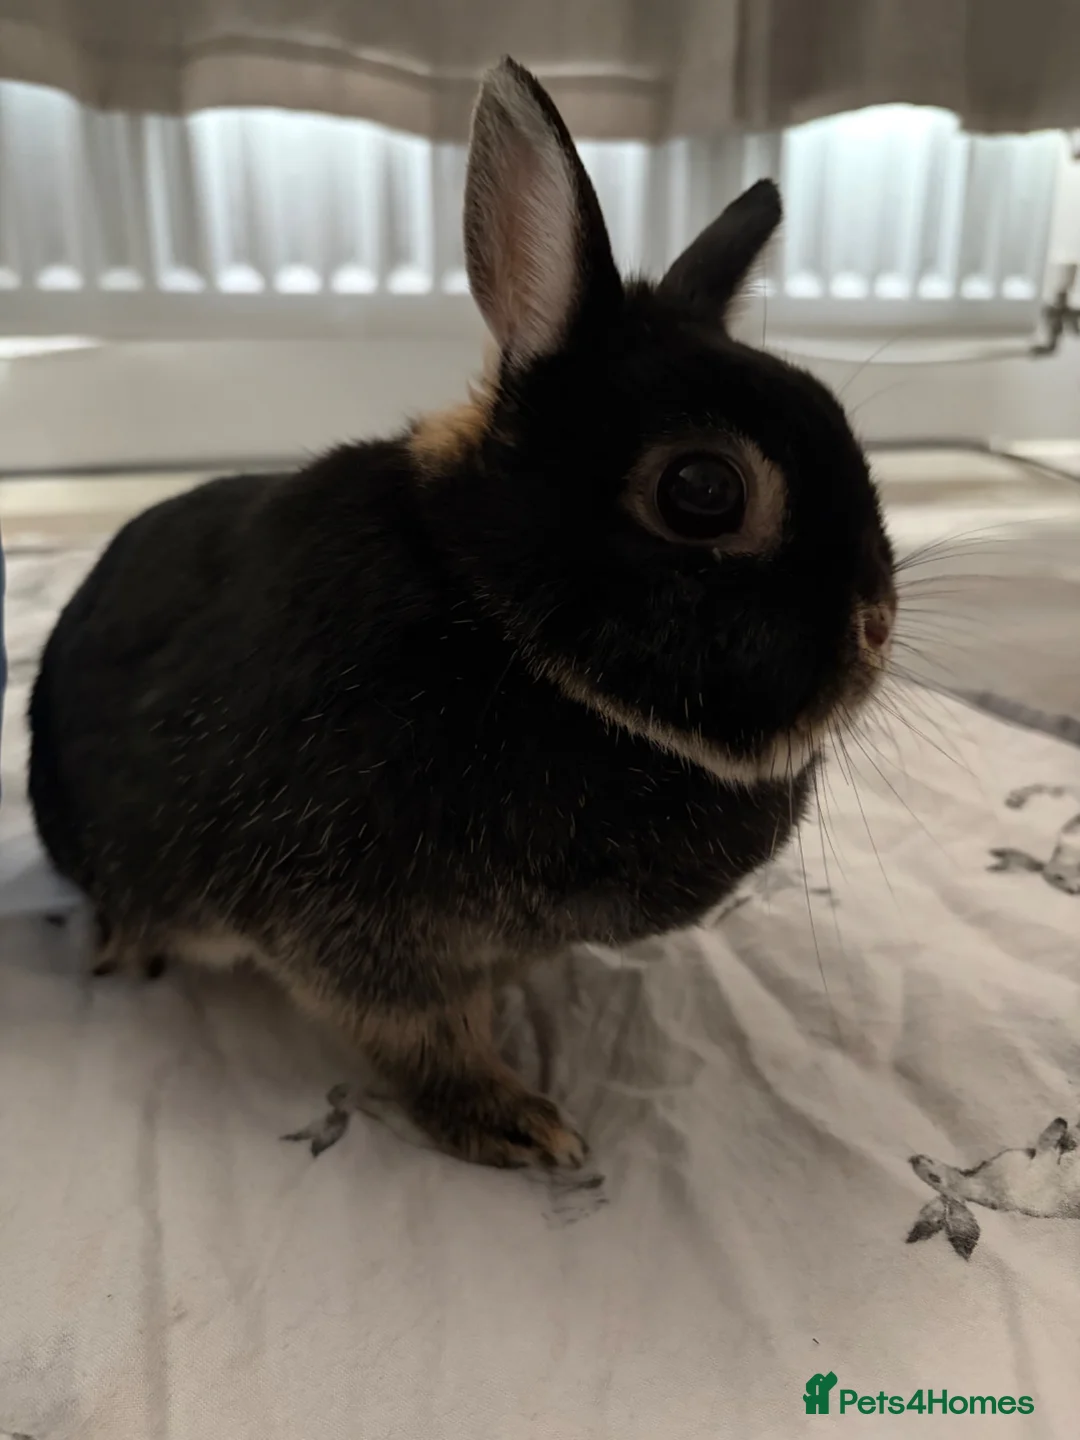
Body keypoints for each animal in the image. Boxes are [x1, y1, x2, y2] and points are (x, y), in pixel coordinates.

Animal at [28, 57, 896, 1169]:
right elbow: (418, 1032)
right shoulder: (351, 926)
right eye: (703, 491)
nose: (876, 627)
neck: (500, 625)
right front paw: (511, 1121)